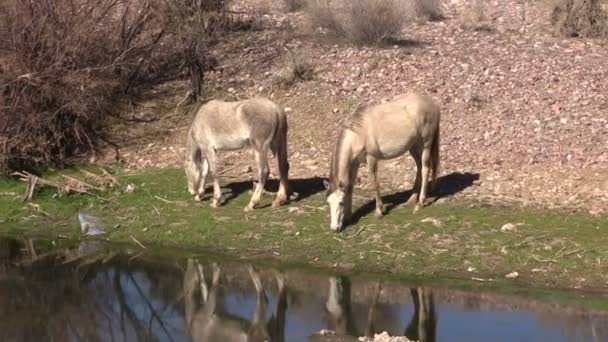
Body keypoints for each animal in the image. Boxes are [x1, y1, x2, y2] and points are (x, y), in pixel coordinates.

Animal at [326, 92, 440, 231]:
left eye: (340, 203)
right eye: (329, 202)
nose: (334, 228)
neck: (358, 135)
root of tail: (433, 104)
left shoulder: (372, 158)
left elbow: (374, 184)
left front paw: (379, 211)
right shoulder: (355, 163)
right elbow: (350, 186)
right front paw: (348, 216)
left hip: (426, 144)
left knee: (425, 169)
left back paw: (420, 203)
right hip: (414, 146)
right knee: (419, 167)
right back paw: (411, 200)